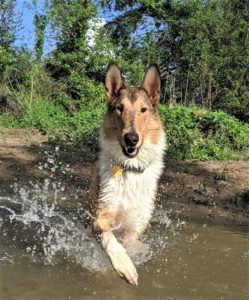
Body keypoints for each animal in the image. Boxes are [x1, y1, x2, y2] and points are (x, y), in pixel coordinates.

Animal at [93, 63, 165, 286]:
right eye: (120, 108)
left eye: (143, 110)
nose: (131, 138)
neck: (130, 169)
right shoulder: (99, 214)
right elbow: (108, 236)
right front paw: (124, 265)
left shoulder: (135, 228)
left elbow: (132, 244)